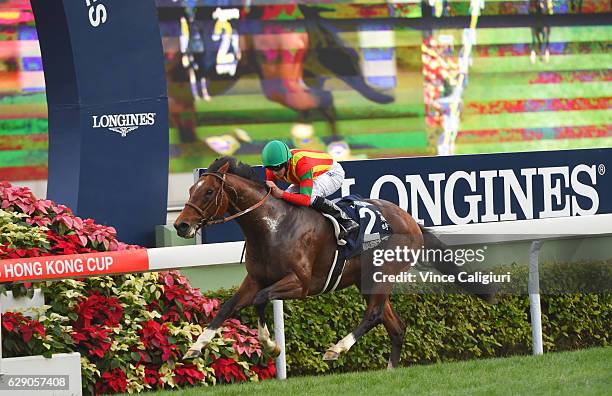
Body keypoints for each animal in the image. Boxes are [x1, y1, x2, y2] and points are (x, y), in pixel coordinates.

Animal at [173, 156, 498, 366]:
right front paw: (195, 348)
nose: (180, 225)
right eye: (191, 190)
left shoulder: (300, 284)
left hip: (382, 274)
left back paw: (336, 350)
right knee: (396, 326)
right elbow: (228, 306)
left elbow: (262, 300)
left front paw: (271, 346)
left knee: (374, 315)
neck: (271, 226)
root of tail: (411, 221)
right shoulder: (255, 279)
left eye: (209, 191)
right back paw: (390, 370)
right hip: (368, 280)